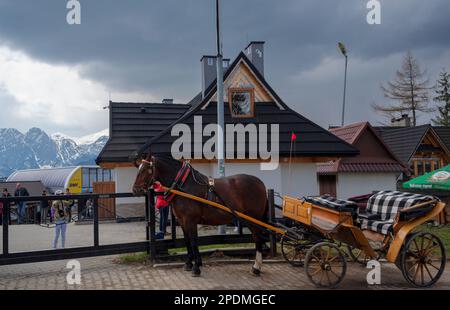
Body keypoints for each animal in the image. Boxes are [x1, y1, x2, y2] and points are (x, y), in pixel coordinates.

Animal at [132, 154, 268, 278]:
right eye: (138, 169)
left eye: (146, 170)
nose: (135, 190)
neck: (183, 185)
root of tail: (260, 183)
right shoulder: (182, 221)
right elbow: (187, 241)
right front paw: (188, 264)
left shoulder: (190, 220)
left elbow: (193, 241)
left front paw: (196, 267)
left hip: (253, 219)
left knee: (258, 239)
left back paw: (256, 267)